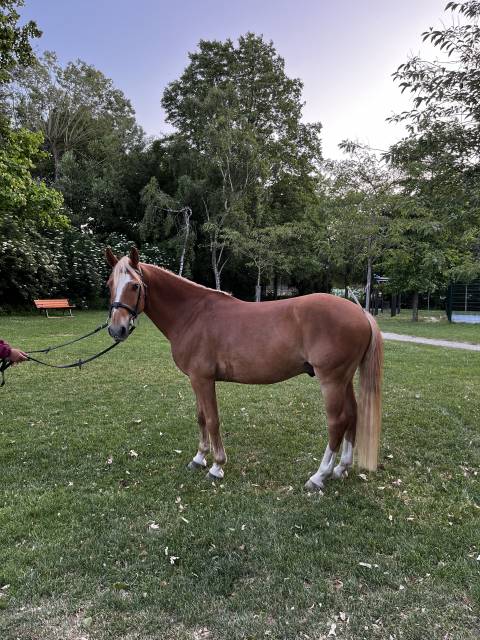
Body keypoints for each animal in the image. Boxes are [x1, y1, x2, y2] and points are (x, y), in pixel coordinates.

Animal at [106, 248, 382, 492]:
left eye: (134, 286)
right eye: (109, 284)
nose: (116, 329)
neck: (192, 314)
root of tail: (360, 312)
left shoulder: (203, 379)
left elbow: (213, 420)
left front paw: (216, 466)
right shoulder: (195, 380)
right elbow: (201, 417)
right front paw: (199, 458)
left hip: (332, 381)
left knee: (337, 422)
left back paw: (319, 476)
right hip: (345, 380)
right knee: (353, 415)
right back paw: (341, 468)